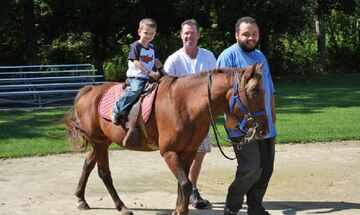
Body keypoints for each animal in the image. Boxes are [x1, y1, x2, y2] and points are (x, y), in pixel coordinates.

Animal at [64, 63, 268, 214]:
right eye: (255, 91)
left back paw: (81, 199)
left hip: (101, 142)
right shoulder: (169, 153)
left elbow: (182, 184)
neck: (185, 104)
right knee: (104, 173)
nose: (264, 129)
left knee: (88, 165)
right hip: (99, 142)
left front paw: (179, 210)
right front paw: (180, 211)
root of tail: (90, 90)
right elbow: (185, 184)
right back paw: (121, 207)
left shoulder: (188, 153)